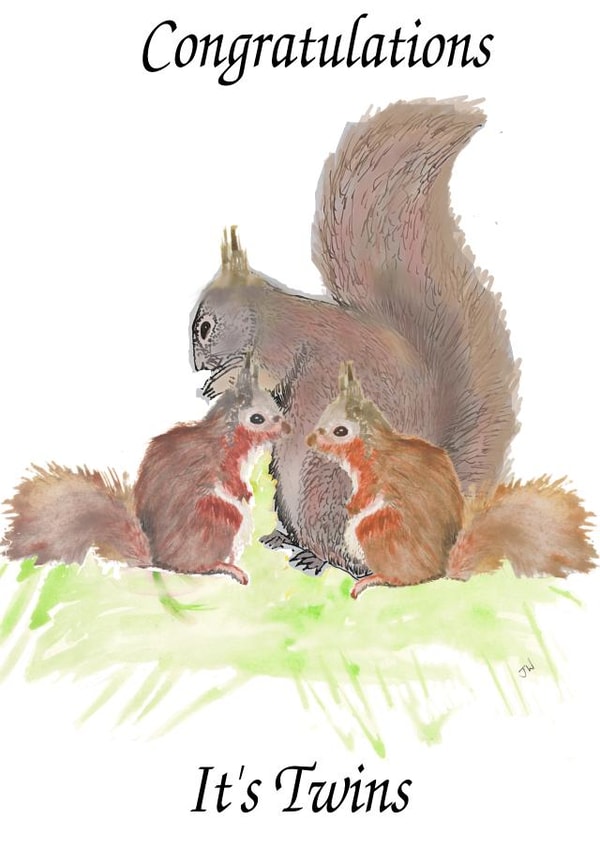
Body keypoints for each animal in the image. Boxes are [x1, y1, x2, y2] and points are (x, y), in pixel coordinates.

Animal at [2, 357, 290, 585]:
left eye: (276, 405)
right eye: (257, 418)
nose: (287, 429)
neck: (229, 435)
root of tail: (157, 558)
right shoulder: (220, 463)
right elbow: (228, 480)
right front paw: (244, 492)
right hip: (220, 517)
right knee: (196, 566)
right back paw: (226, 566)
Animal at [189, 98, 520, 578]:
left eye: (204, 327)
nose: (196, 363)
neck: (263, 315)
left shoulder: (282, 346)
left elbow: (268, 376)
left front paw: (221, 382)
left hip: (323, 487)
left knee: (351, 557)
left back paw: (314, 558)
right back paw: (283, 538)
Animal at [306, 362, 597, 599]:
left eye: (340, 431)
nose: (309, 441)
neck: (371, 448)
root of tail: (442, 569)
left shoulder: (377, 476)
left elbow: (366, 494)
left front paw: (351, 505)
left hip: (377, 527)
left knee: (403, 578)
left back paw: (372, 579)